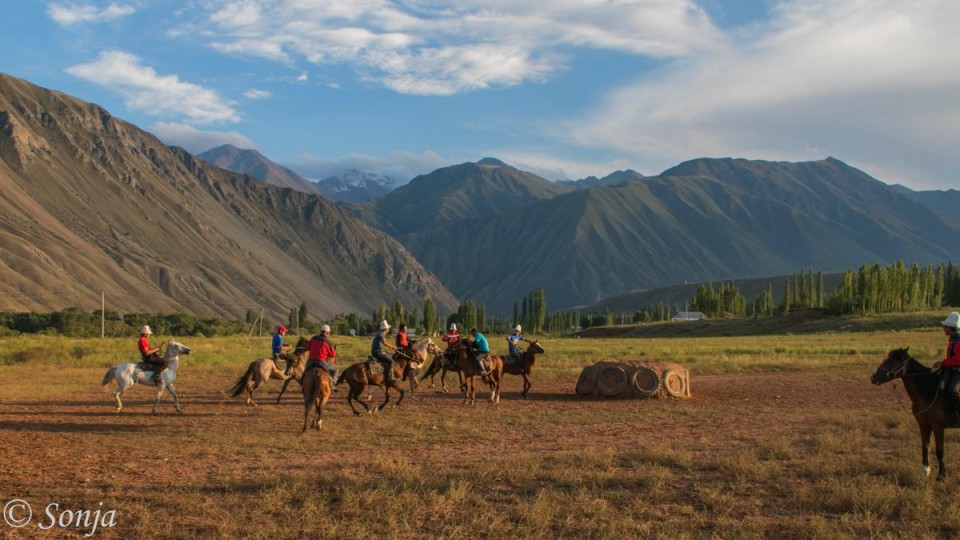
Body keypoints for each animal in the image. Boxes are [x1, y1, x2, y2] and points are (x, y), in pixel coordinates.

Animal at [872, 348, 960, 478]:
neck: (929, 392)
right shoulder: (923, 425)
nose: (873, 377)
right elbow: (925, 446)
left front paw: (942, 475)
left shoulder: (938, 427)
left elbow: (939, 451)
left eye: (891, 360)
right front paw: (925, 470)